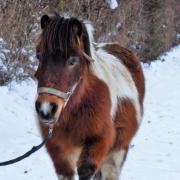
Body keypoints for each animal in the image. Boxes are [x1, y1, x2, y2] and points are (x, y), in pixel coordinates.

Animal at [34, 13, 145, 180]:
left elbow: (86, 170)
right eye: (38, 56)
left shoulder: (98, 143)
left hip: (117, 152)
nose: (46, 109)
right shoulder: (58, 153)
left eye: (72, 61)